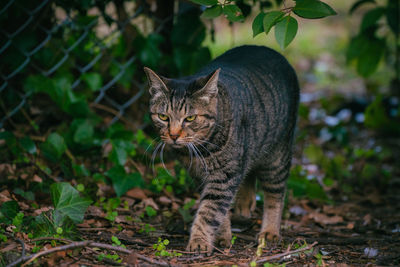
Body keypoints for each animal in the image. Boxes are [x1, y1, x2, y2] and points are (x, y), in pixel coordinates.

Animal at [145, 45, 298, 255]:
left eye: (190, 118)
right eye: (163, 117)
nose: (174, 135)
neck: (200, 150)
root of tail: (269, 49)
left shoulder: (224, 176)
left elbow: (209, 211)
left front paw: (199, 241)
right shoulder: (201, 176)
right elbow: (218, 210)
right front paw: (221, 236)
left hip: (277, 156)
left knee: (275, 194)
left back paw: (270, 231)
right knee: (248, 174)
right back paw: (243, 205)